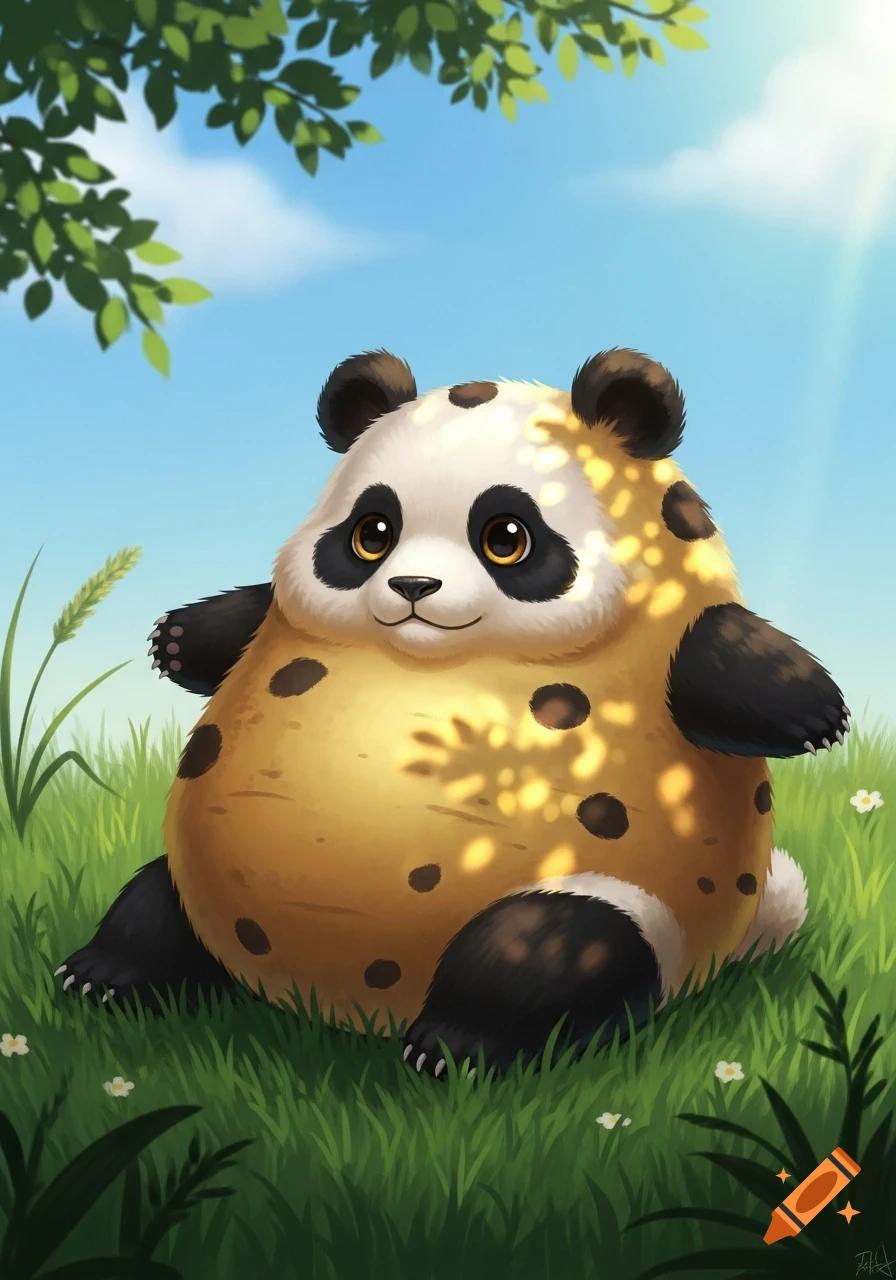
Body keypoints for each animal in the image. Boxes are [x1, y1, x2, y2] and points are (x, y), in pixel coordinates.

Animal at [56, 347, 849, 1077]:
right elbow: (250, 615)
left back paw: (456, 1044)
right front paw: (176, 637)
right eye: (372, 533)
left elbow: (728, 664)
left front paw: (818, 717)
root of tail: (317, 996)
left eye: (506, 537)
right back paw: (103, 973)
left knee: (546, 950)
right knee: (155, 901)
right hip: (198, 872)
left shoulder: (677, 627)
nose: (412, 586)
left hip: (622, 906)